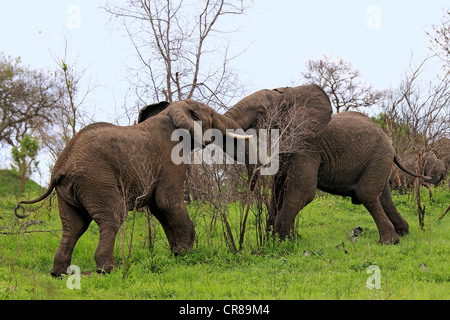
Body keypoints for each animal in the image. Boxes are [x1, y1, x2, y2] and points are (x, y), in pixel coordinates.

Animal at [14, 99, 248, 276]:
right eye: (212, 114)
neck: (173, 110)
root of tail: (59, 168)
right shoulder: (171, 155)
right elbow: (167, 201)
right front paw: (187, 255)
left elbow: (158, 207)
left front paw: (176, 254)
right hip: (96, 181)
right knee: (113, 217)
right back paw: (109, 270)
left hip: (67, 191)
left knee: (74, 226)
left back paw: (59, 274)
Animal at [221, 84, 436, 244]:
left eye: (260, 112)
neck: (291, 93)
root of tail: (391, 146)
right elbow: (278, 191)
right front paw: (273, 241)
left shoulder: (308, 146)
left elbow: (302, 192)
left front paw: (279, 244)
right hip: (379, 161)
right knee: (384, 198)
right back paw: (403, 233)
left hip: (378, 156)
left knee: (367, 194)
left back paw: (389, 242)